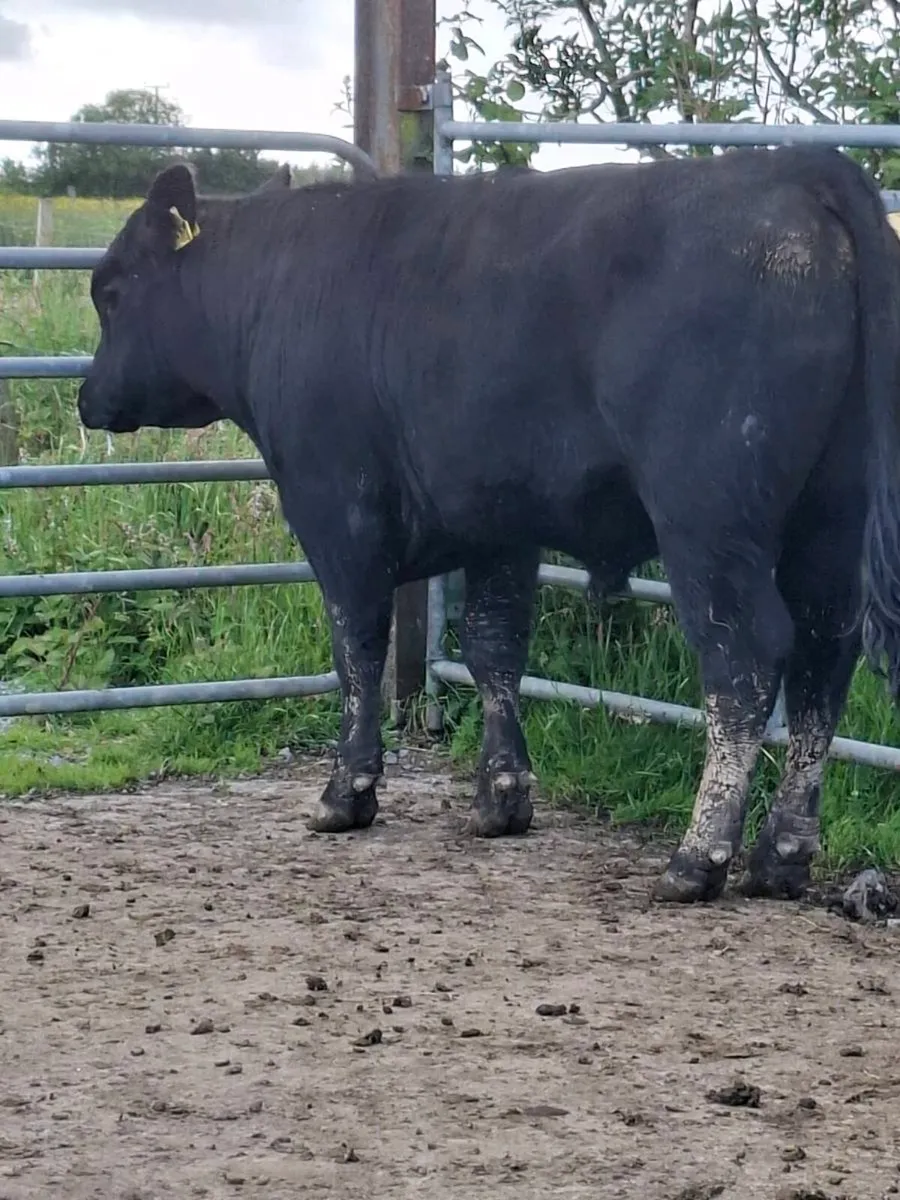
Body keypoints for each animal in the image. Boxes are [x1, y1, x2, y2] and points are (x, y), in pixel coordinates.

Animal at [77, 147, 900, 906]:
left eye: (111, 291)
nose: (87, 398)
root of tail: (796, 167)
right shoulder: (498, 525)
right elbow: (493, 648)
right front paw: (502, 797)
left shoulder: (336, 509)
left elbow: (357, 649)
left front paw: (347, 792)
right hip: (830, 519)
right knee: (825, 654)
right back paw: (782, 854)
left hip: (709, 515)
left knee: (745, 658)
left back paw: (698, 857)